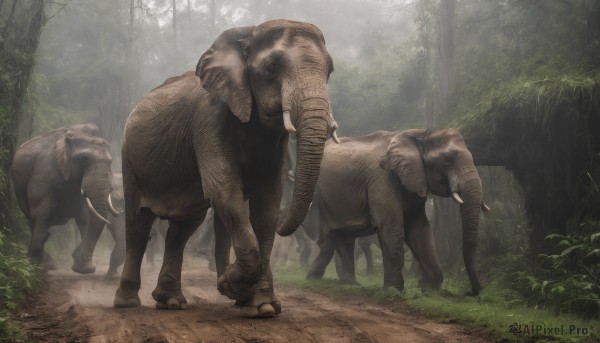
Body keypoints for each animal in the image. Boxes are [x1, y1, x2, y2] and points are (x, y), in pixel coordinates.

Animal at [10, 123, 120, 274]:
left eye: (110, 162)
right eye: (84, 159)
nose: (74, 254)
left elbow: (84, 216)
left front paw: (83, 268)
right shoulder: (43, 173)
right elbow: (40, 210)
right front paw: (39, 266)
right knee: (32, 218)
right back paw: (46, 264)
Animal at [112, 19, 338, 320]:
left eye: (330, 70)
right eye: (271, 67)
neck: (248, 33)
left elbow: (267, 204)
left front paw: (262, 306)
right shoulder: (208, 121)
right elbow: (224, 191)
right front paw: (232, 288)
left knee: (183, 228)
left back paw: (171, 301)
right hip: (130, 161)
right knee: (138, 223)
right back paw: (126, 302)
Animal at [278, 129, 490, 296]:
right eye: (447, 160)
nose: (472, 292)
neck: (418, 133)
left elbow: (419, 230)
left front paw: (429, 289)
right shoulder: (381, 178)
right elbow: (390, 226)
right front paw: (394, 291)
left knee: (341, 235)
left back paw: (348, 283)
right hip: (319, 195)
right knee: (334, 234)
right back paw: (326, 280)